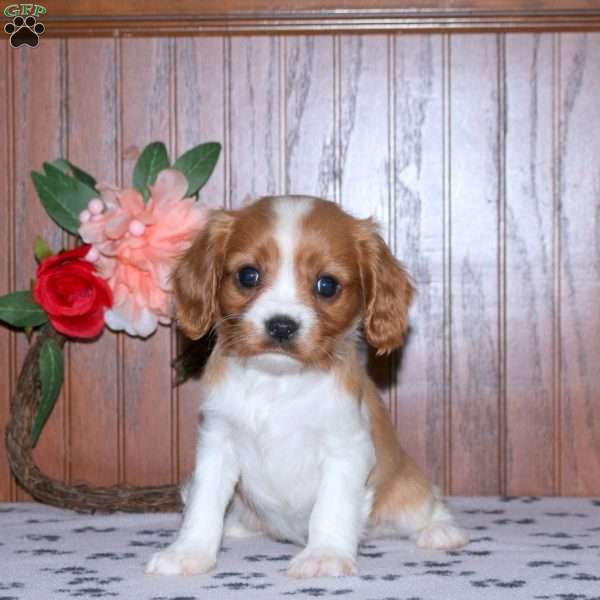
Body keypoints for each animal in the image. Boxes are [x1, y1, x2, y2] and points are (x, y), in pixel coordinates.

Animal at [146, 196, 468, 576]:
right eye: (248, 275)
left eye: (326, 285)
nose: (281, 325)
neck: (278, 381)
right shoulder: (217, 444)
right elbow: (203, 505)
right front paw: (188, 553)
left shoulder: (346, 448)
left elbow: (331, 507)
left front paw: (324, 555)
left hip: (405, 492)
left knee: (427, 502)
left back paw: (441, 531)